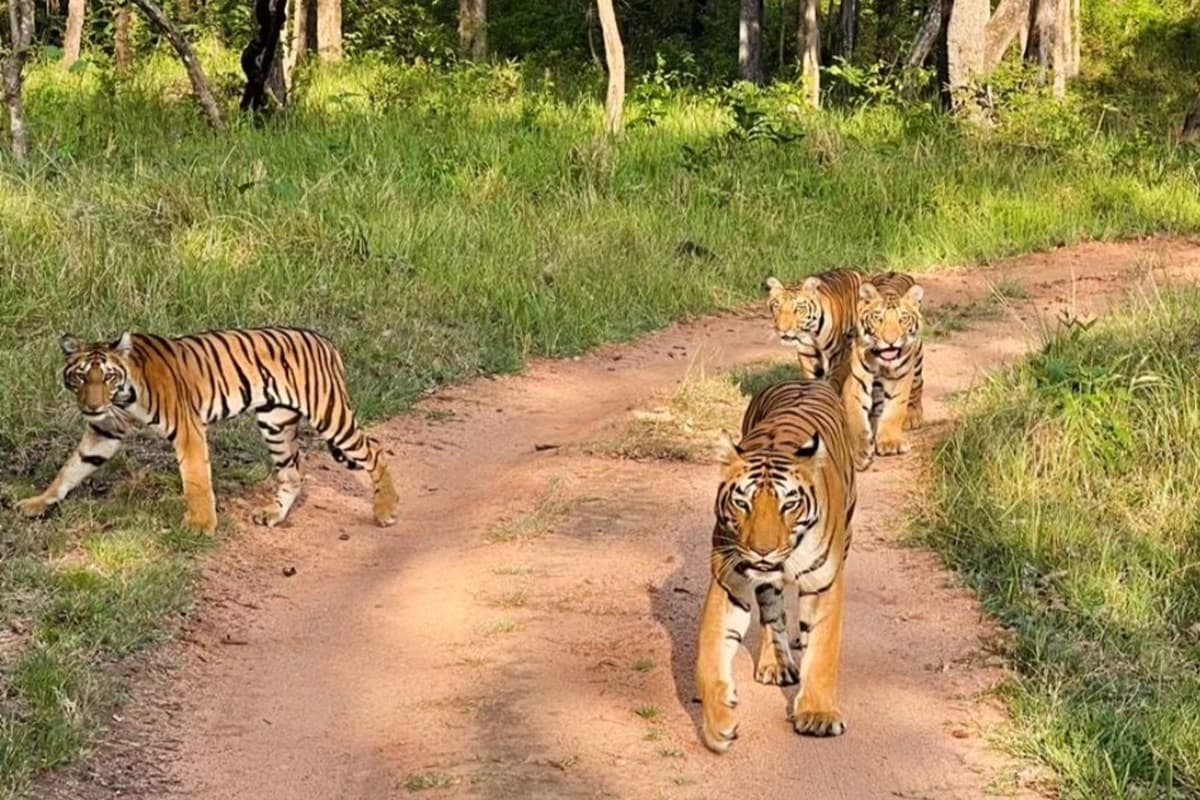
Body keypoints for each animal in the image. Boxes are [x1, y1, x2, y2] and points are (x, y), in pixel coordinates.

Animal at [15, 327, 400, 533]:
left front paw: (201, 526)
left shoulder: (188, 430)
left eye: (108, 376)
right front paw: (37, 503)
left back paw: (386, 511)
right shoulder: (104, 431)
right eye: (81, 377)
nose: (92, 406)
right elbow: (71, 468)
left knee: (376, 450)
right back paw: (273, 515)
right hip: (275, 424)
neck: (123, 397)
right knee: (293, 474)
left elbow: (196, 480)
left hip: (330, 416)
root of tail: (326, 341)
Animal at [696, 379, 856, 752]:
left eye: (789, 504)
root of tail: (806, 380)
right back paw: (775, 664)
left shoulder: (824, 582)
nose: (763, 551)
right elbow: (710, 653)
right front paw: (718, 724)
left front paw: (818, 715)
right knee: (772, 610)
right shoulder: (728, 579)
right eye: (742, 503)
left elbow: (823, 650)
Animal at [842, 272, 925, 471]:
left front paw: (889, 443)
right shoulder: (855, 384)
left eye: (903, 319)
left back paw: (913, 415)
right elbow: (856, 419)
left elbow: (895, 410)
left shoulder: (902, 379)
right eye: (878, 319)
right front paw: (860, 452)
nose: (890, 341)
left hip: (917, 360)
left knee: (918, 386)